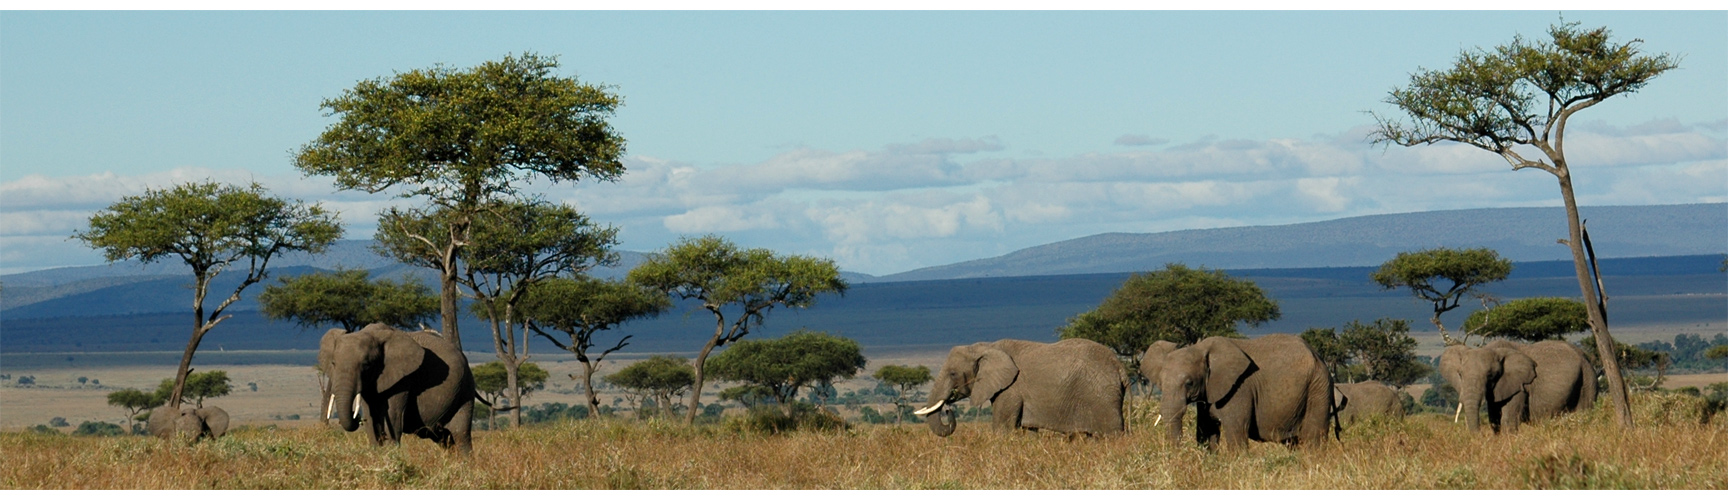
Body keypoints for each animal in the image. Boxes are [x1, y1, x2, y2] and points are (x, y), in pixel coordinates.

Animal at [319, 321, 476, 449]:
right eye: (333, 363)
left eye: (366, 365)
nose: (357, 417)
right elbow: (370, 417)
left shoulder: (403, 378)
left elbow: (392, 417)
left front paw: (390, 453)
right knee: (444, 439)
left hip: (465, 390)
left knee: (461, 436)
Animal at [912, 335, 1126, 435]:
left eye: (953, 373)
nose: (948, 409)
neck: (987, 347)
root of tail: (1119, 366)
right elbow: (1027, 431)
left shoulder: (1011, 388)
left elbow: (1003, 428)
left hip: (1101, 396)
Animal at [1147, 332, 1334, 446]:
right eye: (1160, 383)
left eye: (1189, 383)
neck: (1200, 349)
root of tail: (1317, 355)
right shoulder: (1208, 391)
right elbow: (1206, 431)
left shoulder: (1239, 388)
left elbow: (1236, 430)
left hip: (1318, 386)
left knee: (1314, 438)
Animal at [1437, 339, 1596, 432]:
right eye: (1460, 374)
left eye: (1490, 375)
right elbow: (1494, 420)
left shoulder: (1519, 386)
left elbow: (1508, 420)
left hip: (1587, 379)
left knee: (1583, 414)